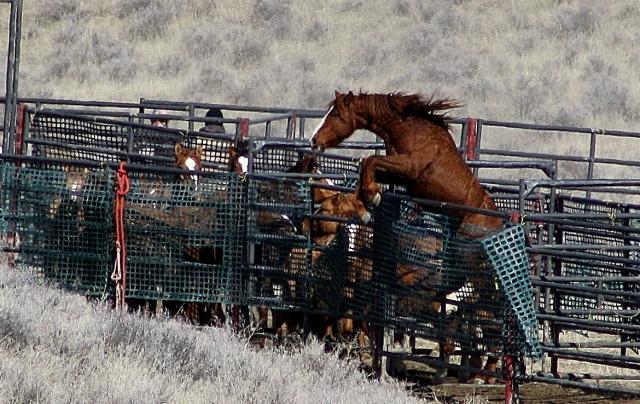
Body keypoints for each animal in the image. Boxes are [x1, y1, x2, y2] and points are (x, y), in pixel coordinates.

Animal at [312, 90, 504, 382]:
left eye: (335, 114)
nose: (314, 141)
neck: (409, 128)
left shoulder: (408, 168)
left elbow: (369, 161)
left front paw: (371, 198)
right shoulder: (394, 171)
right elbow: (365, 170)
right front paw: (366, 204)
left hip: (477, 272)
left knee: (488, 316)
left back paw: (482, 374)